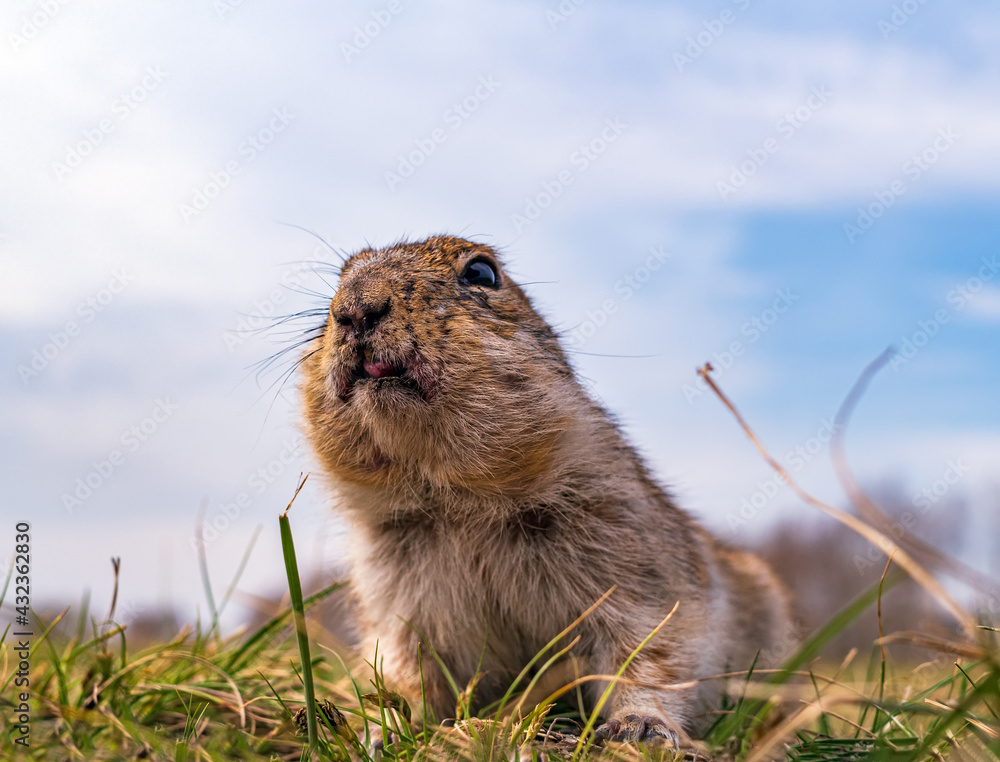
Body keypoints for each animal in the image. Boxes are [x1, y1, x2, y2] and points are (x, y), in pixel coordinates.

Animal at [300, 233, 792, 744]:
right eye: (342, 274)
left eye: (482, 272)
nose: (356, 306)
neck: (458, 499)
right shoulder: (393, 601)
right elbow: (405, 670)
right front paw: (386, 729)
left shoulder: (633, 555)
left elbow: (651, 650)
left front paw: (640, 726)